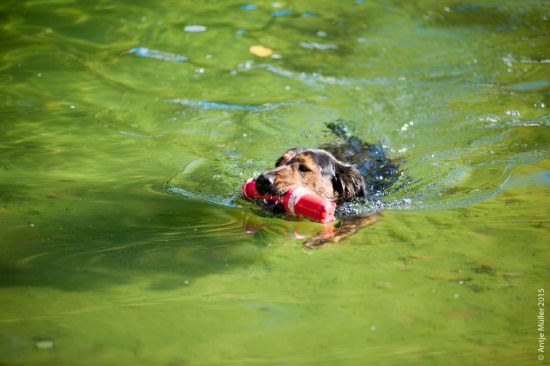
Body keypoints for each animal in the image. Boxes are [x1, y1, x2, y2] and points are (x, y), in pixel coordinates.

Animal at [254, 121, 402, 247]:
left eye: (304, 168)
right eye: (278, 163)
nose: (262, 179)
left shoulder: (370, 212)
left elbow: (350, 226)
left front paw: (320, 240)